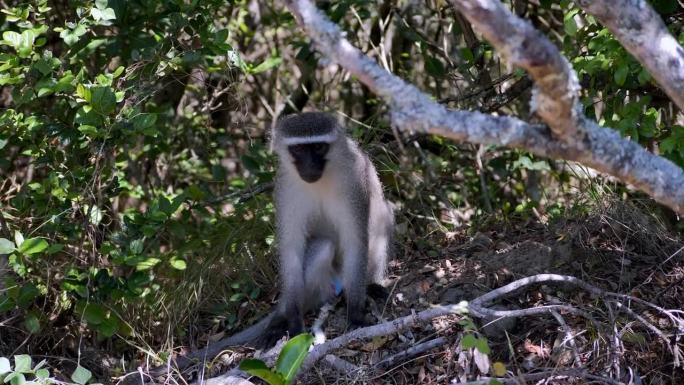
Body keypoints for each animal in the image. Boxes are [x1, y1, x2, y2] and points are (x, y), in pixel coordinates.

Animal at [256, 112, 392, 344]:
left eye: (319, 147)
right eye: (299, 149)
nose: (310, 166)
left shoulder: (354, 182)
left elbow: (355, 241)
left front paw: (355, 313)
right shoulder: (285, 189)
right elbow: (291, 249)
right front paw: (293, 321)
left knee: (383, 218)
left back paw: (370, 287)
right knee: (322, 246)